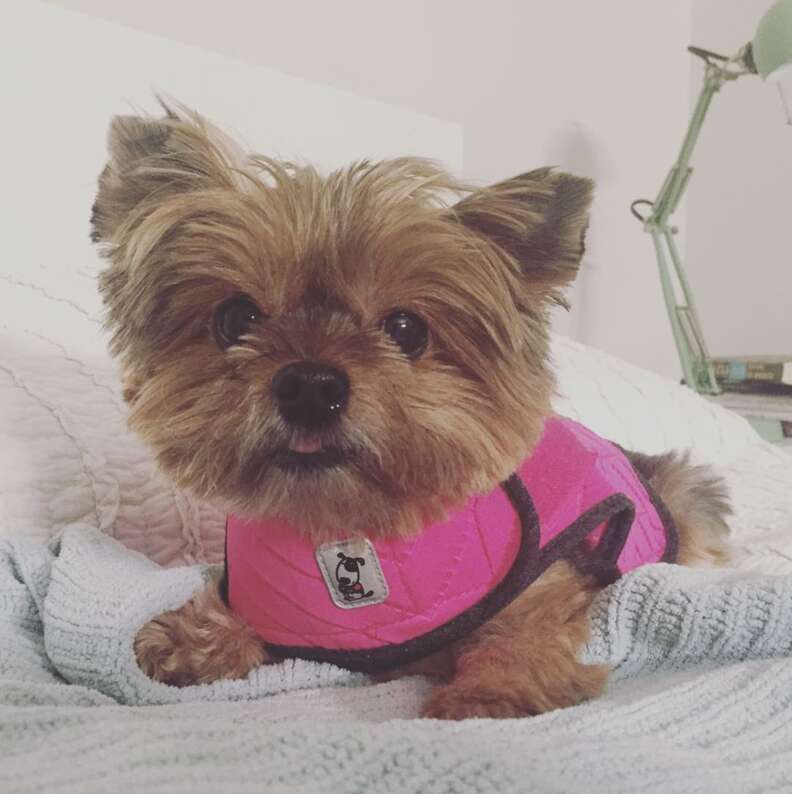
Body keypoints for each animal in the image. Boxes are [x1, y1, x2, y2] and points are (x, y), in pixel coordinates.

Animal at [91, 103, 732, 716]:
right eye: (236, 318)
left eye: (406, 329)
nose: (310, 386)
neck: (344, 524)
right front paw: (196, 637)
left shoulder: (550, 581)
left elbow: (524, 631)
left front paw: (490, 693)